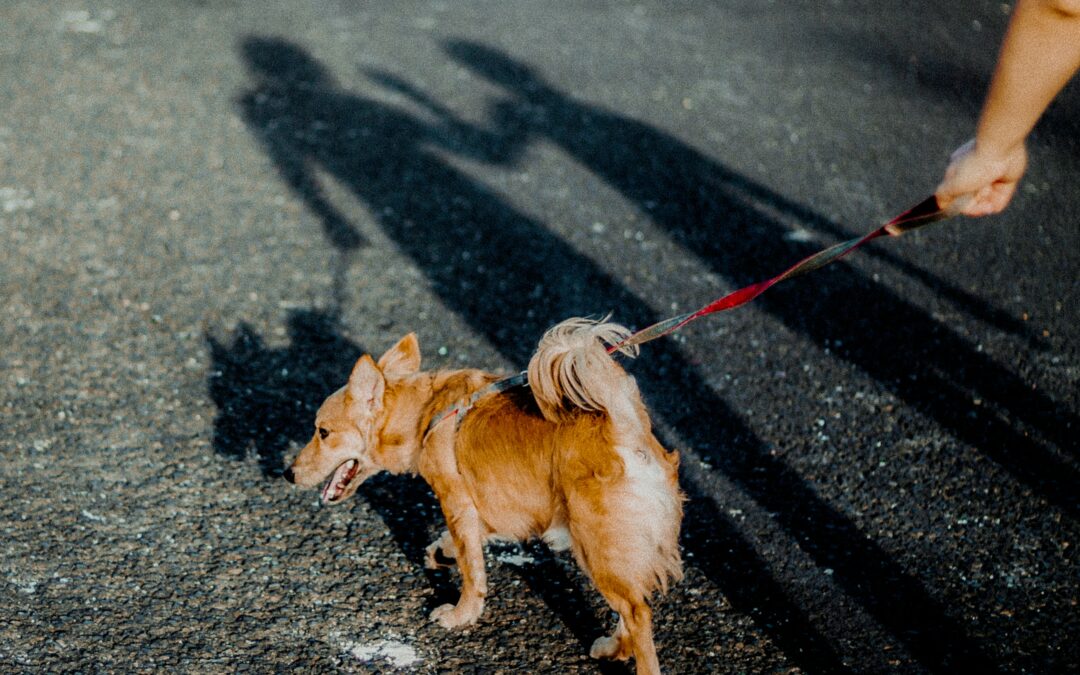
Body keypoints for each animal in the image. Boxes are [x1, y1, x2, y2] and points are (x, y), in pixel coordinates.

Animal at [282, 317, 678, 669]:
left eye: (323, 432)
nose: (287, 473)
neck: (424, 415)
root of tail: (623, 424)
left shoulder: (456, 503)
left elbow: (472, 571)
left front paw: (462, 614)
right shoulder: (486, 505)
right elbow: (466, 541)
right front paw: (441, 553)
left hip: (596, 546)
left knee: (638, 613)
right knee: (632, 605)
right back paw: (613, 647)